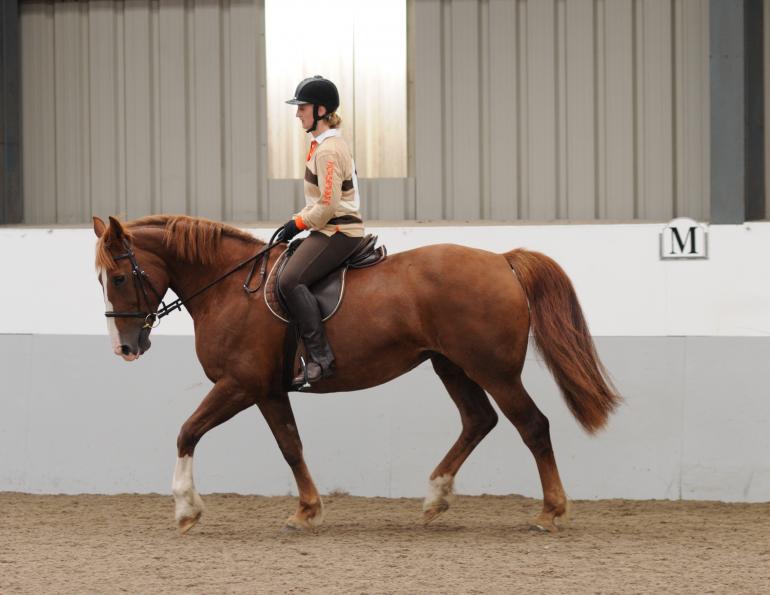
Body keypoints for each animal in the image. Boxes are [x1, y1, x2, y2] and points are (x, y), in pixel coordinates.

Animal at [92, 214, 620, 534]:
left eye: (118, 277)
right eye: (100, 279)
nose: (125, 348)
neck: (230, 289)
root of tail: (501, 261)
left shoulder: (240, 385)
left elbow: (187, 431)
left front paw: (186, 508)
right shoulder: (267, 391)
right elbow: (290, 445)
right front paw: (307, 511)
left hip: (493, 369)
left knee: (532, 425)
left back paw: (549, 512)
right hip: (451, 364)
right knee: (478, 421)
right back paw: (435, 498)